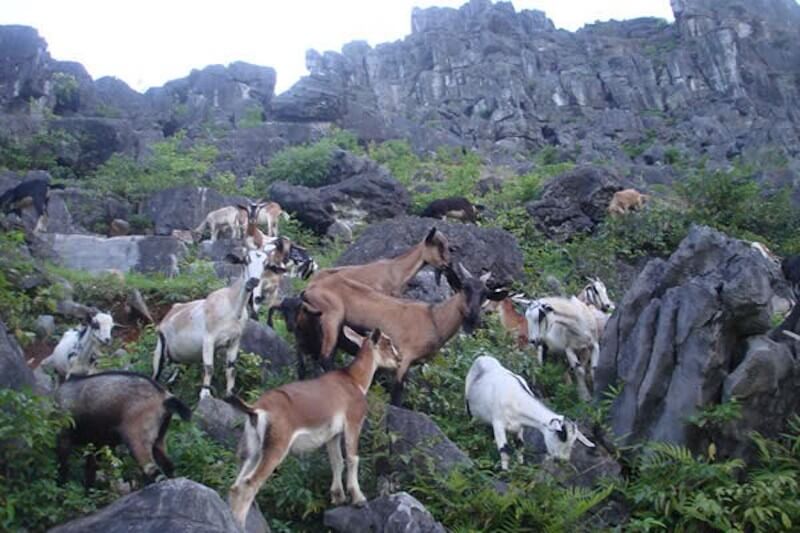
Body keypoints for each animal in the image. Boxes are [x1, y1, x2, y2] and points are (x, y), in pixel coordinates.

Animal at [55, 371, 191, 487]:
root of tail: (163, 396)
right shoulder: (97, 443)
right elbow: (90, 469)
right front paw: (88, 492)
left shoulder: (64, 436)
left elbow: (63, 465)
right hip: (159, 438)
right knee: (168, 465)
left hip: (137, 437)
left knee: (152, 469)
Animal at [152, 250, 276, 399]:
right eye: (246, 261)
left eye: (265, 264)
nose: (253, 281)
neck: (232, 307)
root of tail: (170, 313)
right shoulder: (208, 339)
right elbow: (209, 367)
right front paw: (205, 394)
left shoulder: (234, 341)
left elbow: (231, 369)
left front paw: (230, 394)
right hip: (160, 348)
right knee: (155, 375)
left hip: (179, 358)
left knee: (172, 378)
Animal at [224, 327, 401, 528]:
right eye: (388, 342)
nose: (399, 360)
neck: (354, 381)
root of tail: (255, 410)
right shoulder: (354, 422)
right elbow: (352, 458)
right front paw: (358, 499)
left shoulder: (333, 435)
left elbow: (337, 461)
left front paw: (338, 497)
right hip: (276, 447)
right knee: (249, 484)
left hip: (253, 449)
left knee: (236, 486)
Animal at [302, 263, 507, 405]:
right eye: (464, 288)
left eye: (486, 294)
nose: (472, 317)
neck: (434, 319)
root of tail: (309, 289)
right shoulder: (404, 356)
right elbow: (397, 392)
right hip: (332, 317)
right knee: (325, 357)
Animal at [465, 355, 595, 469]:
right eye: (562, 435)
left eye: (573, 441)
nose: (562, 461)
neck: (515, 399)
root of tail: (483, 357)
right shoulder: (498, 423)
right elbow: (504, 450)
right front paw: (505, 472)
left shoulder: (519, 427)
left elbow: (520, 446)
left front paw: (521, 467)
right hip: (468, 401)